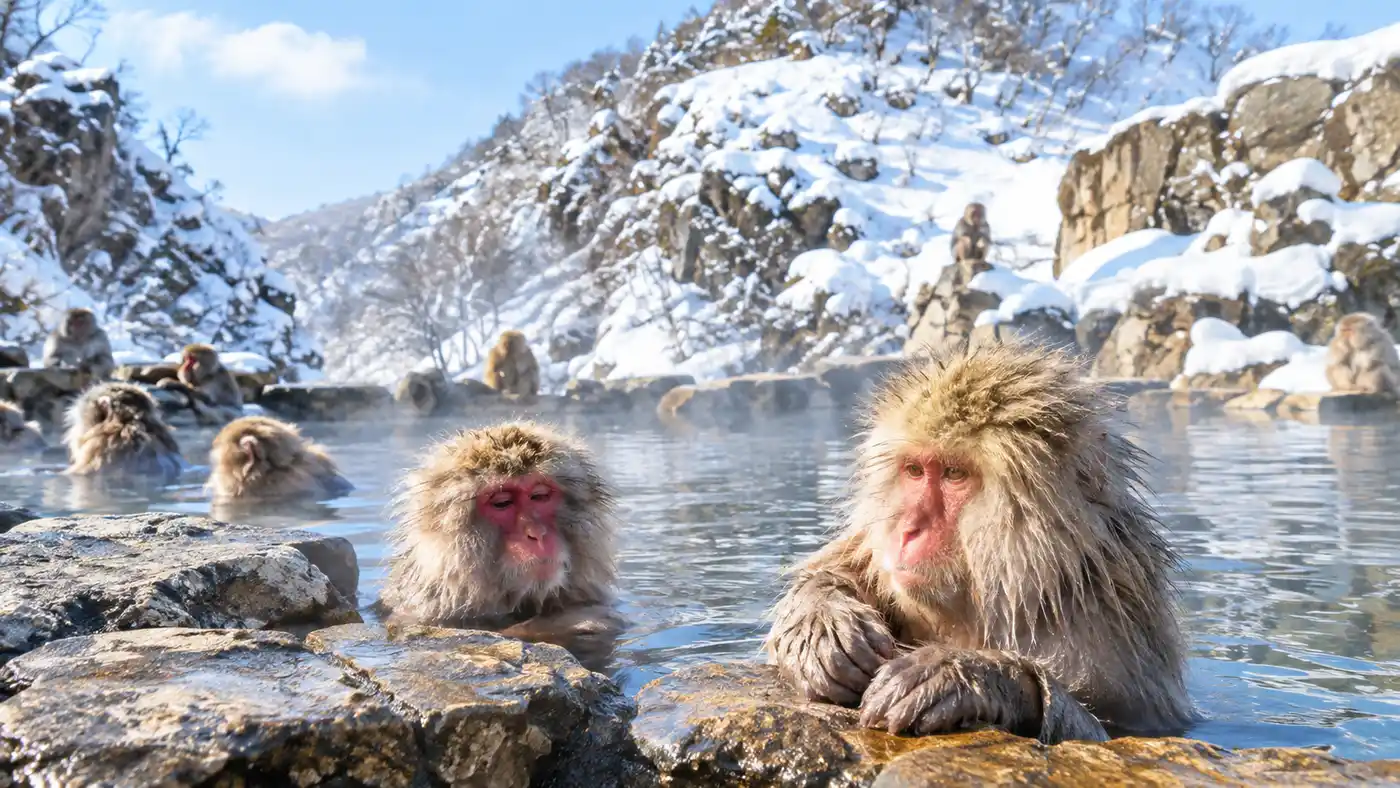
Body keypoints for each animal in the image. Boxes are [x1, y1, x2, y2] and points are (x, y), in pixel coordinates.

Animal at [764, 341, 1192, 745]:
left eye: (954, 474)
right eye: (914, 470)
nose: (908, 529)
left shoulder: (1113, 628)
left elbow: (1106, 729)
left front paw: (965, 675)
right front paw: (822, 625)